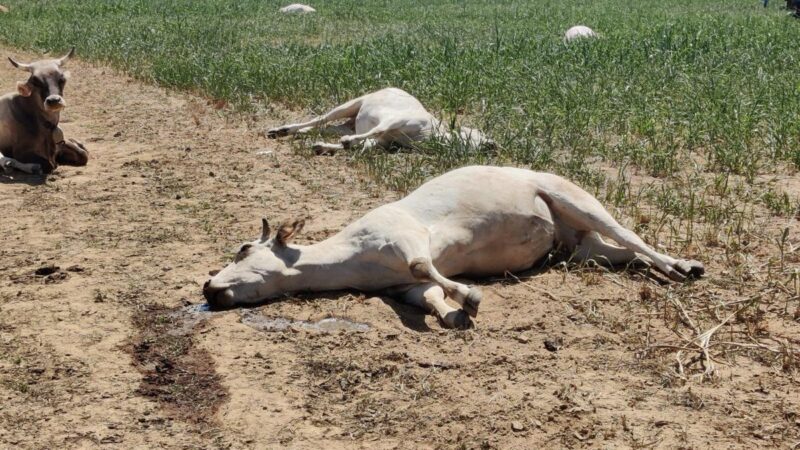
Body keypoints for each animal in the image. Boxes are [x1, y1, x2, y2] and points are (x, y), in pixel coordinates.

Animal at [203, 165, 704, 329]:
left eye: (244, 248)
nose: (209, 289)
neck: (349, 256)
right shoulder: (397, 288)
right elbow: (425, 294)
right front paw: (452, 313)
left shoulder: (405, 236)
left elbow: (424, 267)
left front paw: (471, 297)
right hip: (581, 247)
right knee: (624, 253)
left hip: (576, 199)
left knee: (632, 236)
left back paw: (684, 266)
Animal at [266, 87, 495, 155]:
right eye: (476, 132)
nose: (493, 145)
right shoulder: (394, 120)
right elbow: (374, 132)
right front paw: (346, 143)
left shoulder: (385, 142)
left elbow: (367, 145)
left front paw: (326, 147)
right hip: (350, 105)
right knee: (320, 119)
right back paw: (280, 130)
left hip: (346, 124)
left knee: (323, 128)